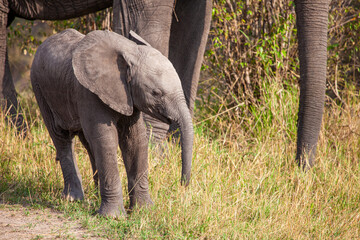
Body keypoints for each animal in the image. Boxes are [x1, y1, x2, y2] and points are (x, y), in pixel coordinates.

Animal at [31, 28, 194, 218]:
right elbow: (106, 140)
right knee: (61, 138)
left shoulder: (127, 96)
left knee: (87, 142)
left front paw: (144, 211)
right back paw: (73, 199)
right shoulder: (88, 92)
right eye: (156, 93)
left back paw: (94, 195)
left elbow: (135, 141)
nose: (183, 184)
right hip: (40, 89)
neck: (131, 51)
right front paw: (114, 217)